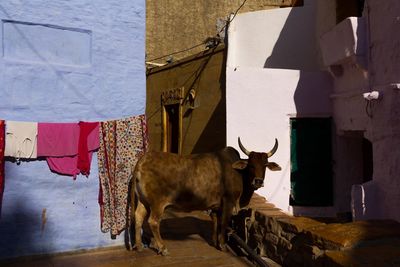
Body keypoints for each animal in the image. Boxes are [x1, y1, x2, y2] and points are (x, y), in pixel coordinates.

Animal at [130, 139, 280, 256]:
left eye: (265, 165)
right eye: (251, 165)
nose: (258, 181)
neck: (238, 173)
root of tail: (143, 160)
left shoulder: (216, 206)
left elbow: (216, 222)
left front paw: (215, 242)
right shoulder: (228, 201)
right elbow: (224, 223)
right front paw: (223, 246)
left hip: (144, 202)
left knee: (138, 217)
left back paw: (139, 246)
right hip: (157, 204)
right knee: (153, 221)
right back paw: (163, 248)